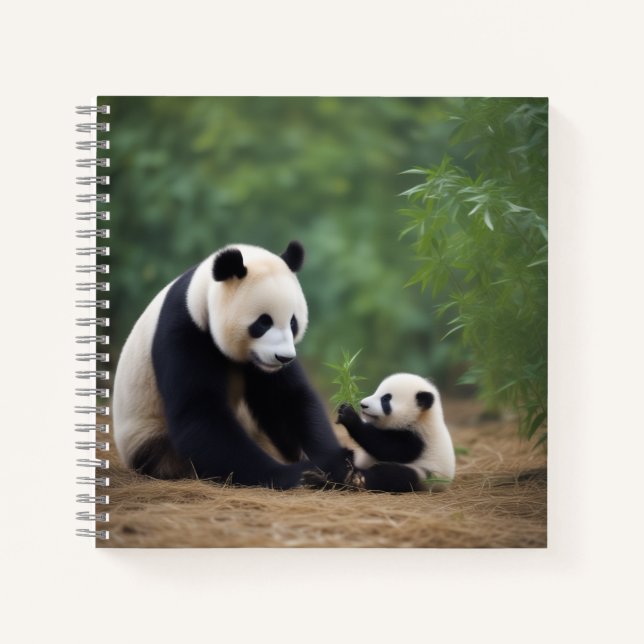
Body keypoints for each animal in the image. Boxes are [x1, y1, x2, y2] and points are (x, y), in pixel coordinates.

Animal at [112, 241, 353, 490]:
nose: (284, 358)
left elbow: (288, 398)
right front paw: (297, 474)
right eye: (263, 322)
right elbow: (199, 414)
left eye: (293, 322)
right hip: (149, 438)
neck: (201, 292)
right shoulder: (184, 329)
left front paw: (336, 464)